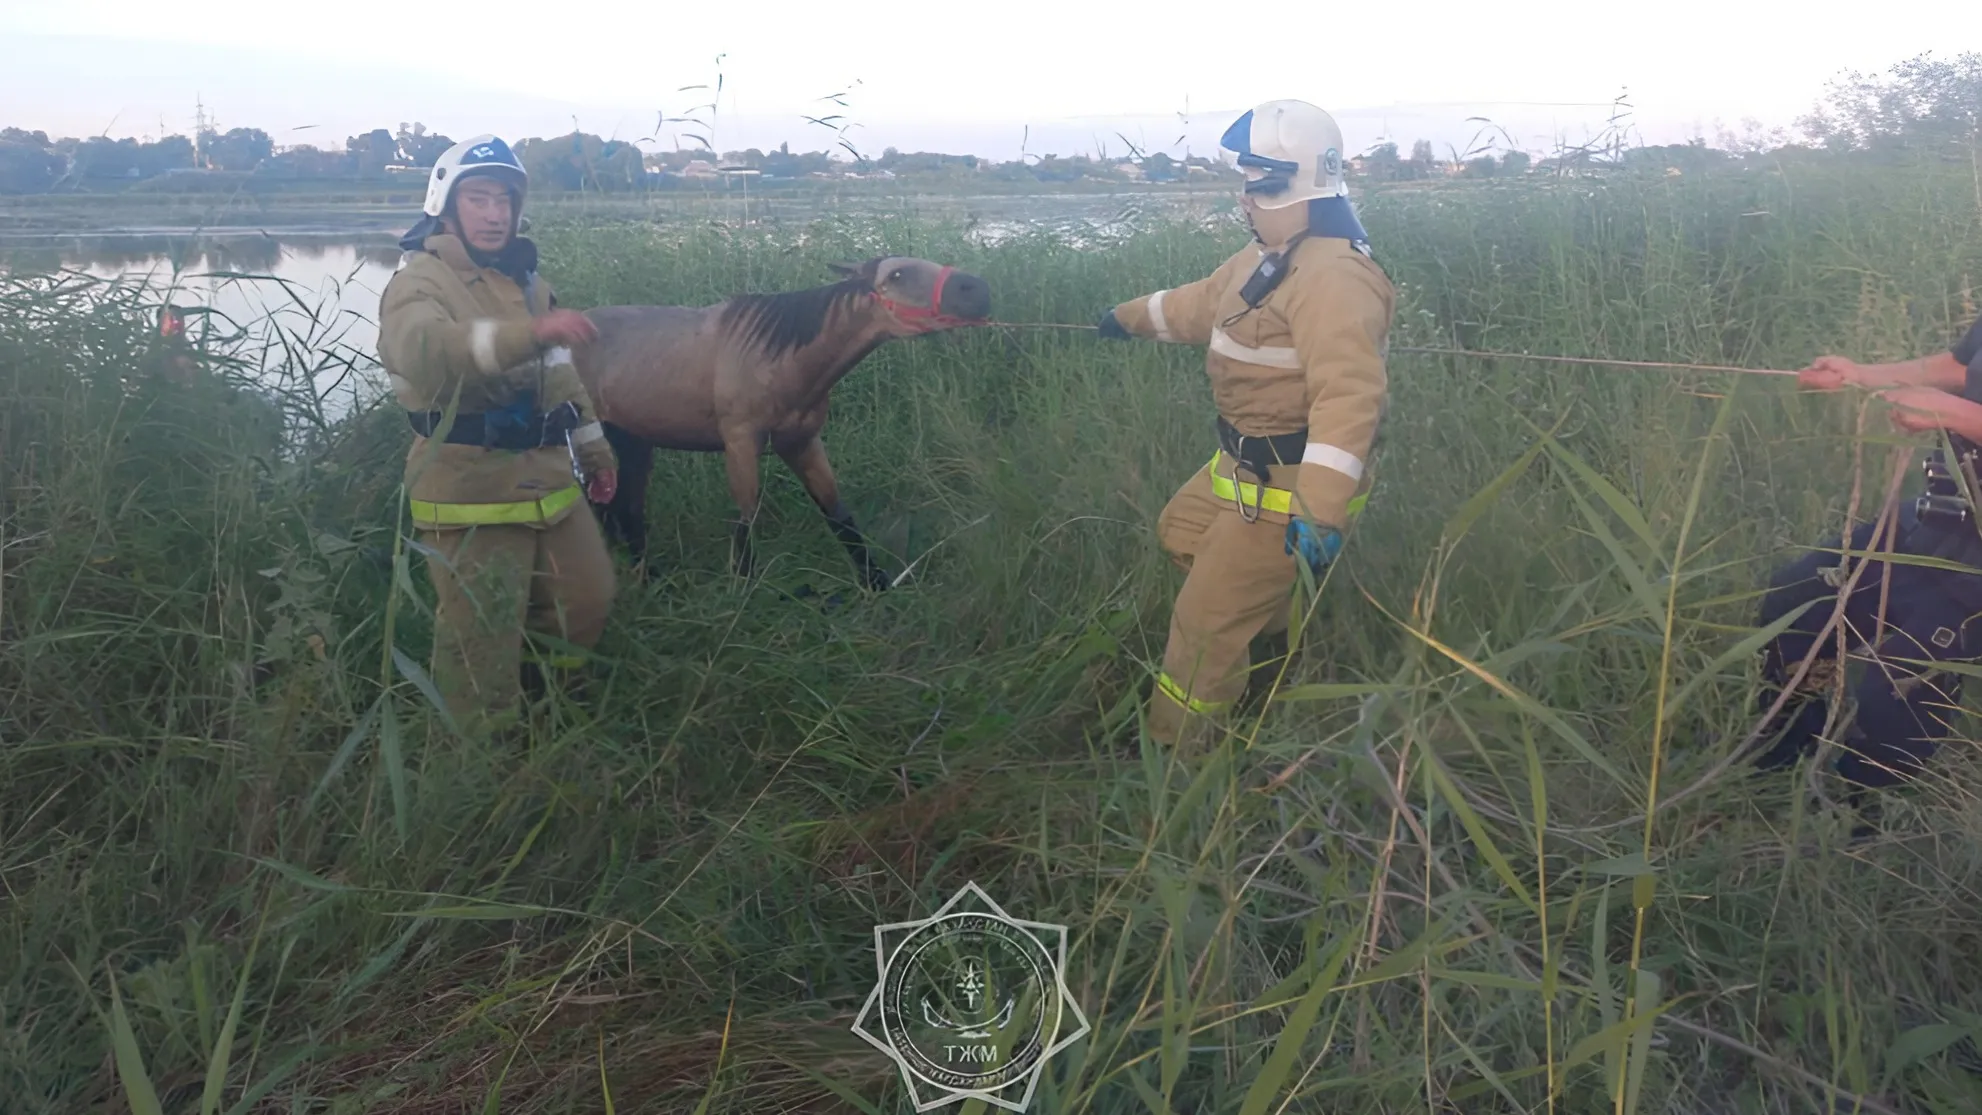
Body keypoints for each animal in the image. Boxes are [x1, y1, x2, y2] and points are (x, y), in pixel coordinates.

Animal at [574, 255, 991, 590]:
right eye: (898, 274)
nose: (979, 290)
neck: (778, 358)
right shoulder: (740, 444)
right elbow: (747, 519)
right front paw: (743, 590)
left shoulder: (802, 443)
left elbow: (839, 516)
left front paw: (876, 583)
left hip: (632, 440)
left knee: (623, 507)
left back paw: (646, 574)